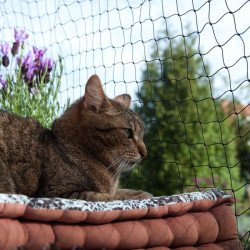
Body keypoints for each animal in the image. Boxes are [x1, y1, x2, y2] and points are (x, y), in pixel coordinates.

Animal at [0, 74, 152, 201]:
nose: (145, 153)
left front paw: (142, 192)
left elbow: (124, 191)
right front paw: (141, 196)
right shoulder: (57, 192)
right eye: (128, 132)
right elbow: (108, 196)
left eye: (141, 134)